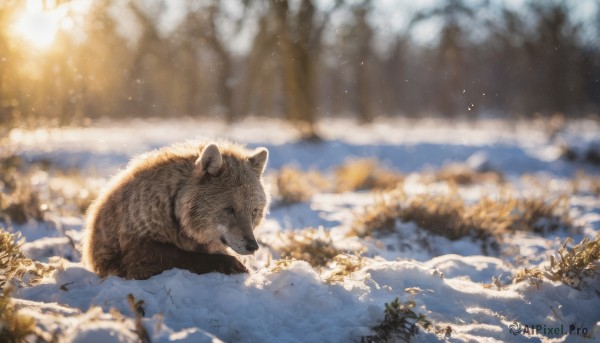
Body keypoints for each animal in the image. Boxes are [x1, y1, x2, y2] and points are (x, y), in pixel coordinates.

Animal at [81, 141, 268, 280]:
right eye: (229, 209)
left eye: (254, 211)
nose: (253, 246)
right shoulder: (138, 253)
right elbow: (186, 257)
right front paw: (234, 264)